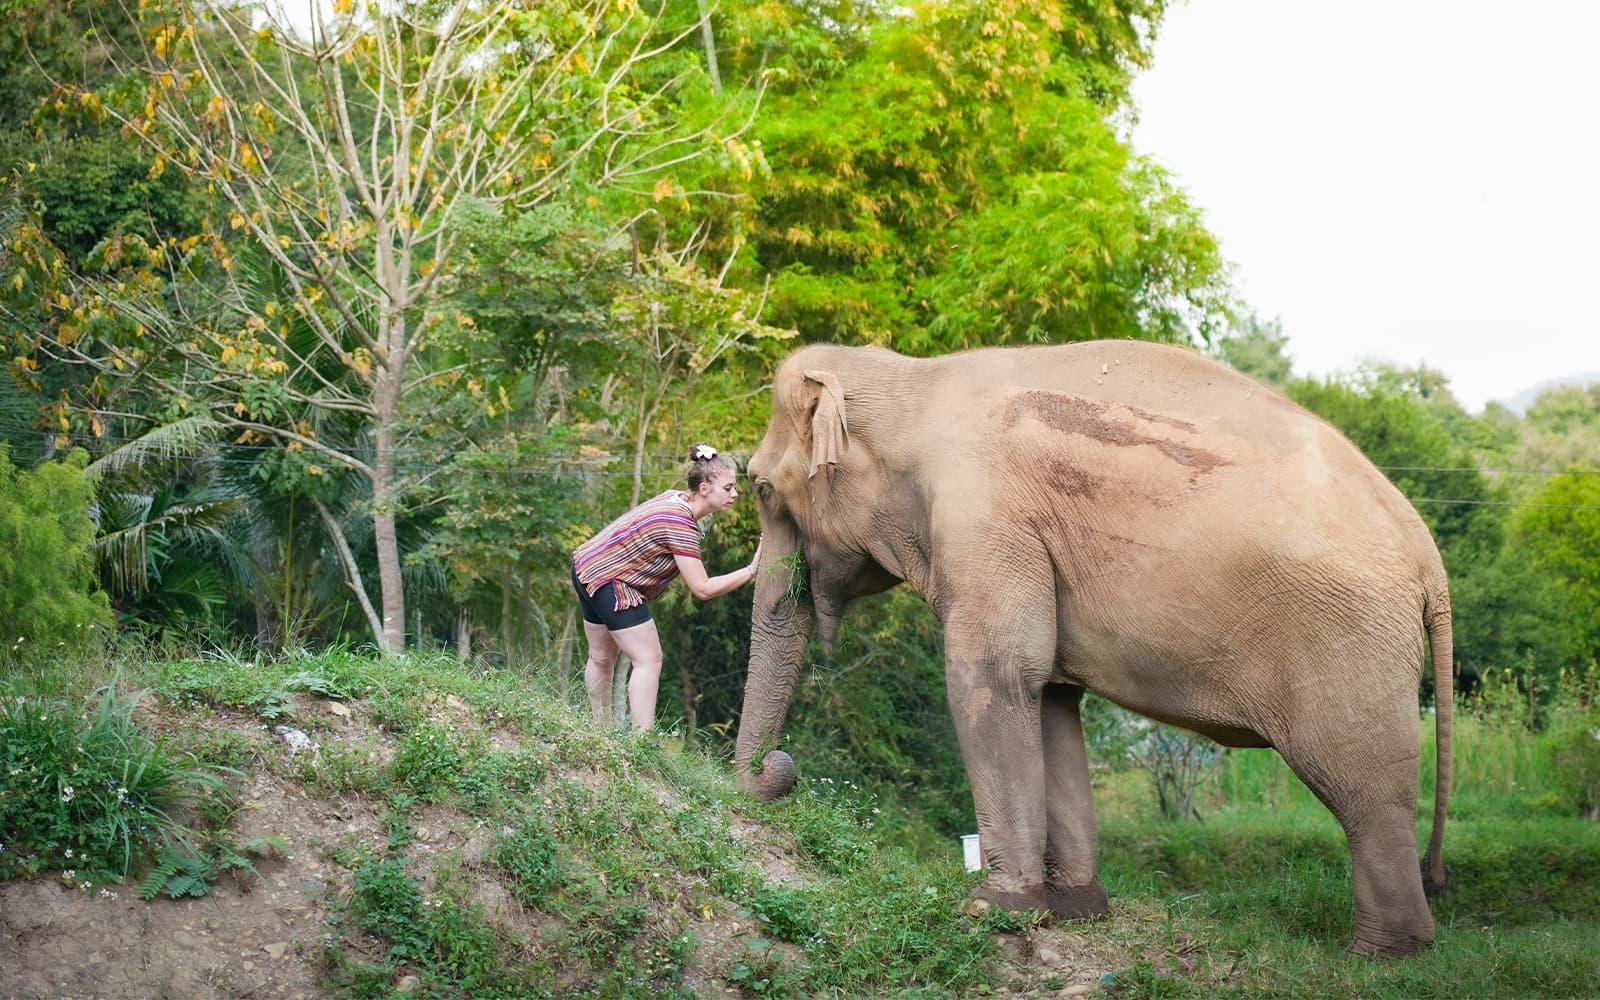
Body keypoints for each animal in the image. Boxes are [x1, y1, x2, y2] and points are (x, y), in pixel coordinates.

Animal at [733, 340, 1453, 957]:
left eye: (762, 488)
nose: (775, 768)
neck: (909, 379)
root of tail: (1430, 560)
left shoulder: (984, 520)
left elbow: (995, 674)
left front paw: (990, 911)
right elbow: (1050, 694)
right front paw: (1077, 910)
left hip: (1347, 644)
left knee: (1366, 792)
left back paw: (1380, 956)